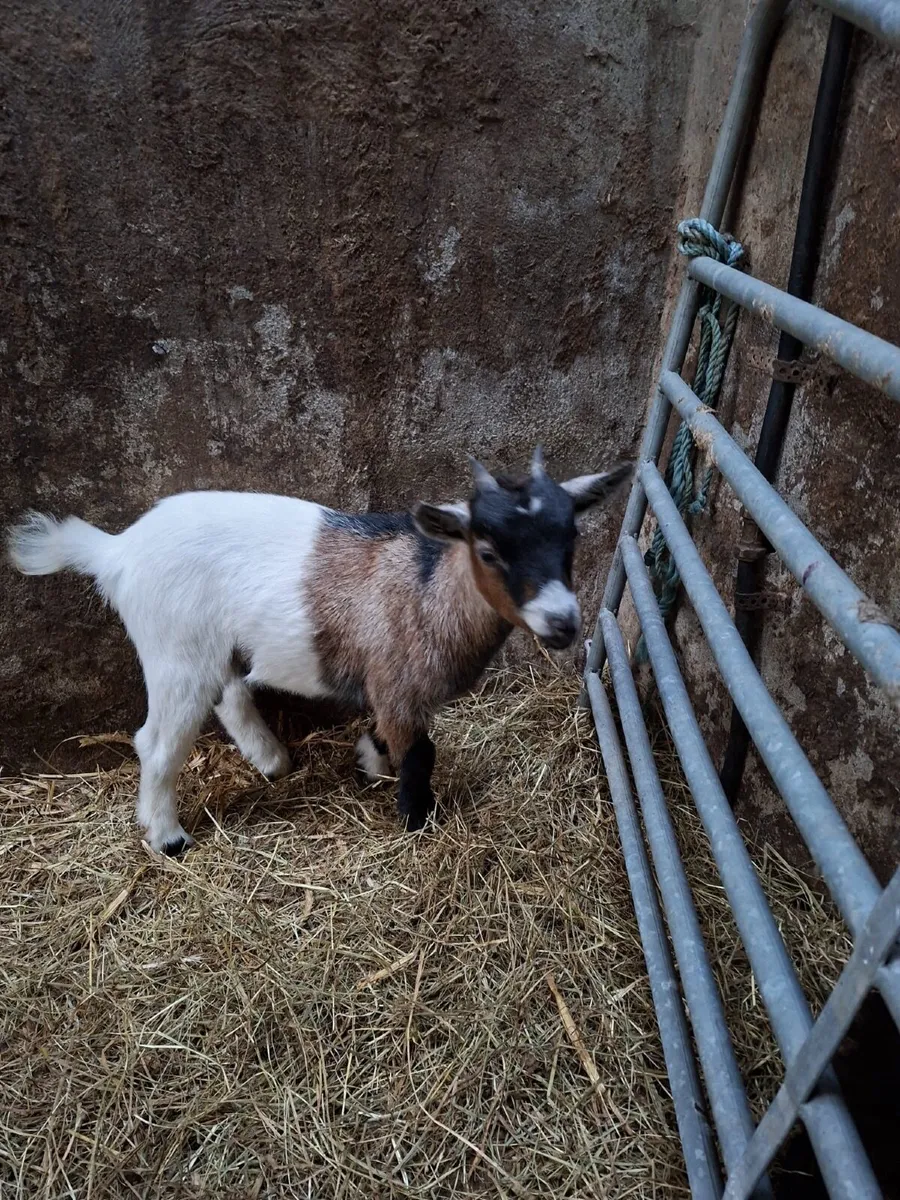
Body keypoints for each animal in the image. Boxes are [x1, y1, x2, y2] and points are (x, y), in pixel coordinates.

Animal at [7, 449, 631, 852]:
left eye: (571, 539)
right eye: (489, 550)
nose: (563, 623)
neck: (427, 590)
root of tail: (118, 551)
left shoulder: (389, 687)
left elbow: (388, 735)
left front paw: (369, 762)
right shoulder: (398, 683)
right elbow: (421, 753)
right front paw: (417, 820)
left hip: (210, 644)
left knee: (230, 694)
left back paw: (272, 760)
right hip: (173, 648)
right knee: (157, 743)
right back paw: (167, 838)